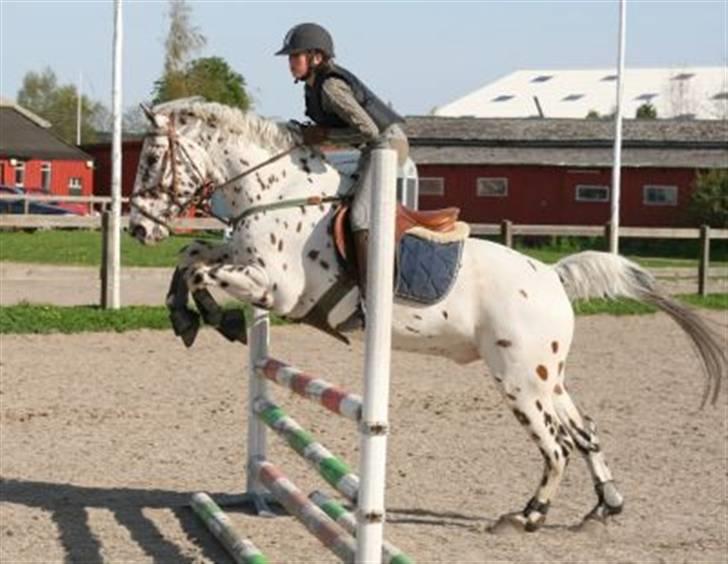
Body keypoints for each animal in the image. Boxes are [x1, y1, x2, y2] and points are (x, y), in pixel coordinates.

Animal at [128, 99, 724, 536]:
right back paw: (605, 506)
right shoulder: (243, 262)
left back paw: (526, 516)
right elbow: (192, 257)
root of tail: (553, 276)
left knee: (556, 445)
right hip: (547, 377)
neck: (278, 196)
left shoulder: (276, 287)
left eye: (152, 160)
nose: (138, 228)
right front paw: (183, 316)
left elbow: (204, 274)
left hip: (519, 380)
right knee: (584, 431)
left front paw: (214, 319)